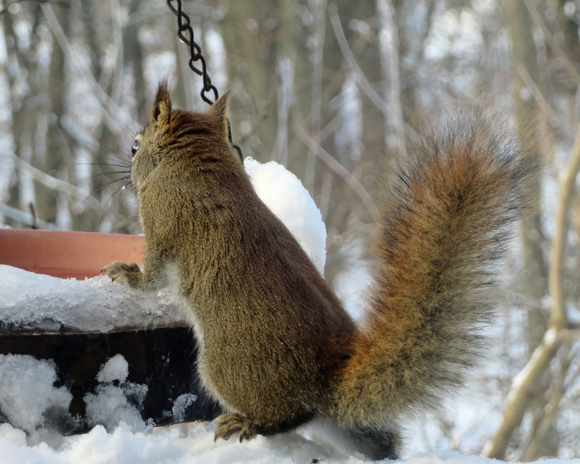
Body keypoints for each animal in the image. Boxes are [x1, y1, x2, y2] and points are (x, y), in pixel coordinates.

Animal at [103, 81, 540, 458]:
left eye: (135, 147)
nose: (123, 173)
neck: (197, 165)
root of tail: (323, 381)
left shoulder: (162, 223)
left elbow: (153, 277)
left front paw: (125, 273)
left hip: (223, 366)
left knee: (288, 417)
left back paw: (247, 423)